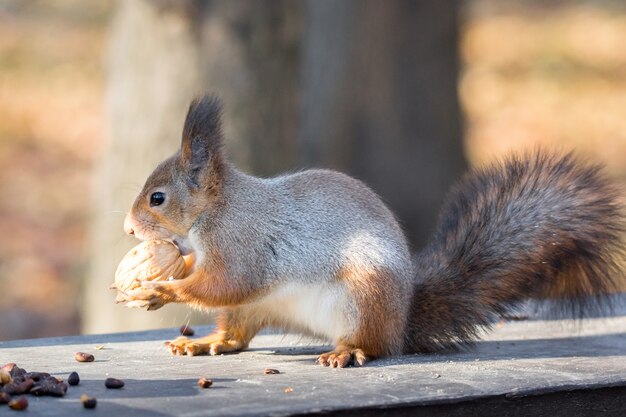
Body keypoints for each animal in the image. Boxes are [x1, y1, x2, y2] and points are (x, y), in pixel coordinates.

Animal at [119, 94, 620, 368]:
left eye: (157, 199)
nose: (127, 229)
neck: (215, 211)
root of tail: (402, 320)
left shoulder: (241, 244)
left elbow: (223, 283)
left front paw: (160, 289)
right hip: (258, 308)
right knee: (237, 335)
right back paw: (208, 342)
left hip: (365, 293)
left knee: (375, 345)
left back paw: (346, 352)